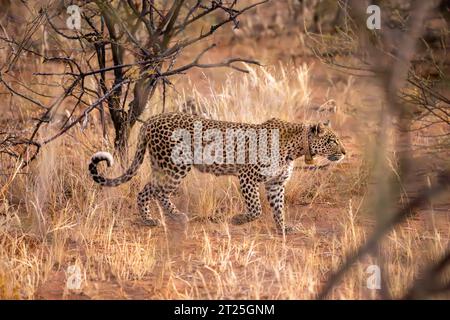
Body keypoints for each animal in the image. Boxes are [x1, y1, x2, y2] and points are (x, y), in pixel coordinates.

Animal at [89, 111, 348, 234]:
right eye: (333, 141)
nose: (345, 152)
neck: (296, 147)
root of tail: (152, 119)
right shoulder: (247, 177)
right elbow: (256, 208)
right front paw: (238, 220)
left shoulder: (276, 183)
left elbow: (278, 209)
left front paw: (283, 229)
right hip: (174, 166)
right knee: (151, 191)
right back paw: (154, 219)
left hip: (163, 166)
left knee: (154, 191)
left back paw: (170, 217)